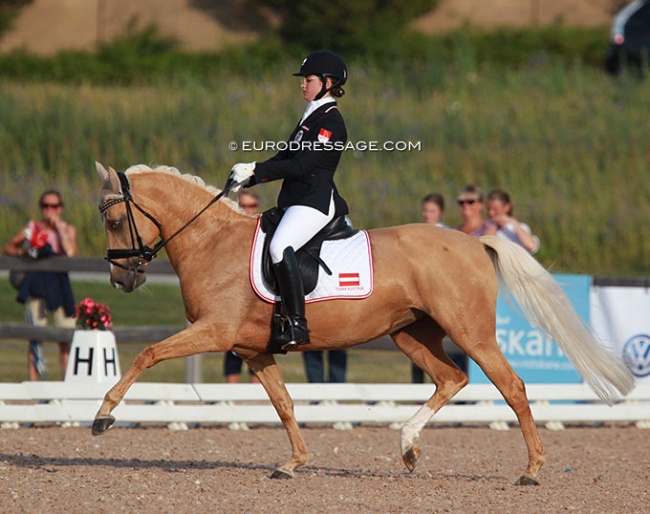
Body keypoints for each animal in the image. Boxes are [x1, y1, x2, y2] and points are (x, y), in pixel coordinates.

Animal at [93, 162, 632, 482]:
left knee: (512, 386)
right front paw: (293, 463)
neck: (211, 243)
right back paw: (409, 447)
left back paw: (532, 469)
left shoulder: (214, 333)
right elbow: (284, 403)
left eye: (115, 221)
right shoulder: (252, 349)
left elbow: (147, 353)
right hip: (411, 334)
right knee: (451, 378)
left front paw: (103, 416)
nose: (121, 279)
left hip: (471, 332)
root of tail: (474, 240)